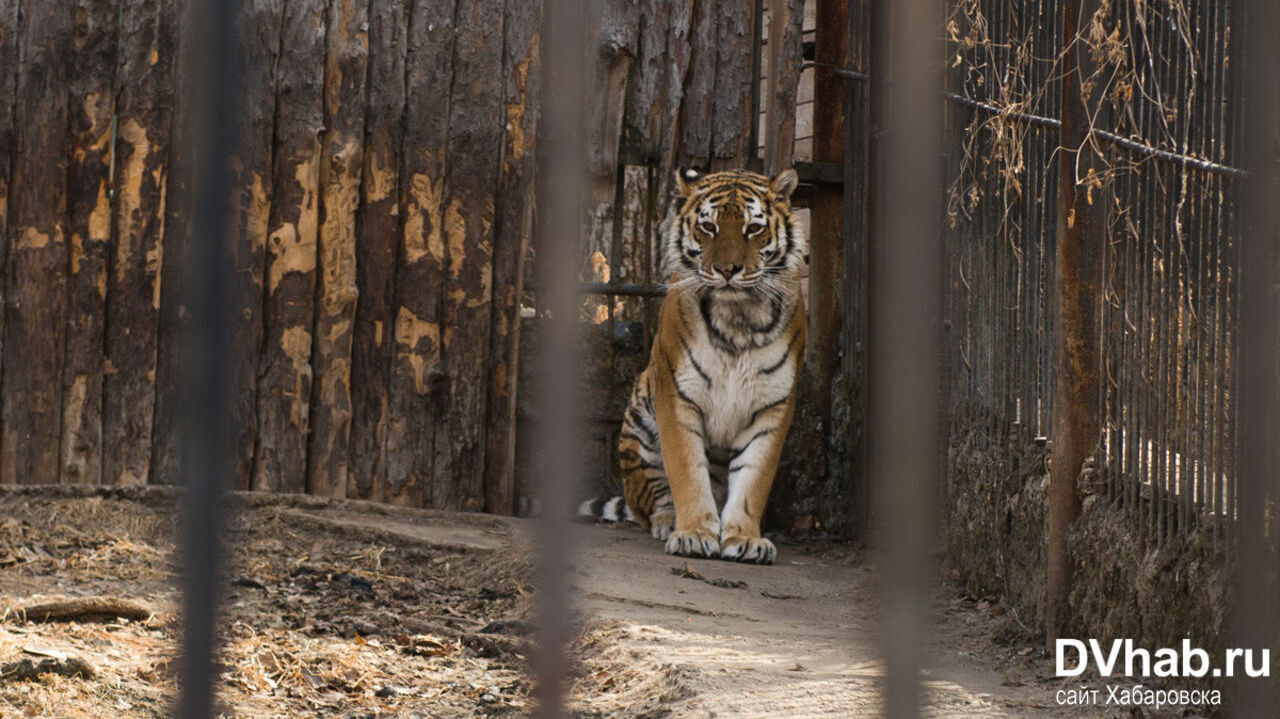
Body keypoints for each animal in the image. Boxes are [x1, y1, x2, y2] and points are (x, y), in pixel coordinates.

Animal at [593, 166, 803, 560]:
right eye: (709, 227)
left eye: (753, 228)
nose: (727, 269)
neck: (739, 319)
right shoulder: (676, 395)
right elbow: (687, 472)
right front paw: (692, 534)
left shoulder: (772, 406)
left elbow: (753, 479)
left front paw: (744, 538)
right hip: (638, 428)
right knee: (650, 501)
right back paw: (666, 522)